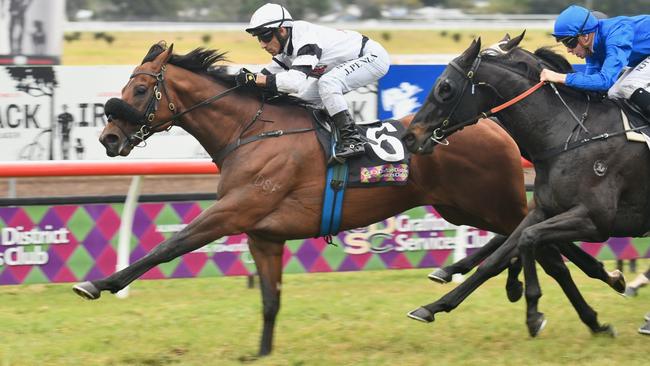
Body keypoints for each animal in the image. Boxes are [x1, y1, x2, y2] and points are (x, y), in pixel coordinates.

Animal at [69, 42, 616, 354]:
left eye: (140, 90)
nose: (109, 139)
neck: (253, 132)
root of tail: (493, 125)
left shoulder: (233, 211)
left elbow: (170, 246)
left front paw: (98, 283)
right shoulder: (263, 233)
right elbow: (270, 300)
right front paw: (263, 352)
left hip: (491, 202)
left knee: (542, 247)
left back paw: (568, 301)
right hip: (466, 206)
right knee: (541, 246)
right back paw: (592, 301)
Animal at [400, 34, 636, 338]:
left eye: (445, 87)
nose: (410, 136)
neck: (573, 133)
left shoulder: (596, 219)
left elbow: (527, 242)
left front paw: (532, 306)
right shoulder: (545, 207)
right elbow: (504, 253)